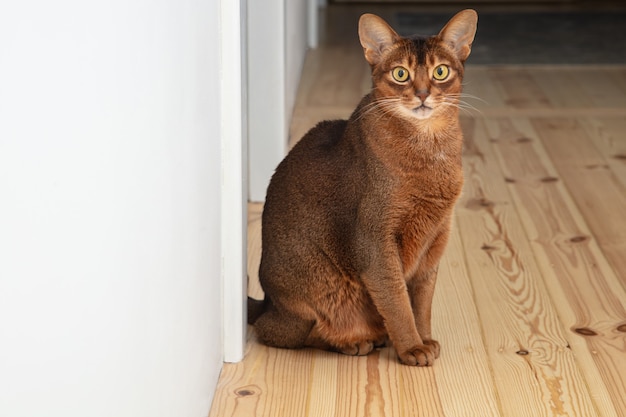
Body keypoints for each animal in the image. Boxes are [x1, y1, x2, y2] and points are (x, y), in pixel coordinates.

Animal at [246, 9, 476, 366]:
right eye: (400, 74)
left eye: (440, 71)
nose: (423, 94)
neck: (429, 148)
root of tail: (267, 302)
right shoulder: (374, 239)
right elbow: (397, 299)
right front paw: (412, 347)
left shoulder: (435, 239)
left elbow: (422, 301)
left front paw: (424, 338)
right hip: (316, 291)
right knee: (283, 333)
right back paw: (353, 342)